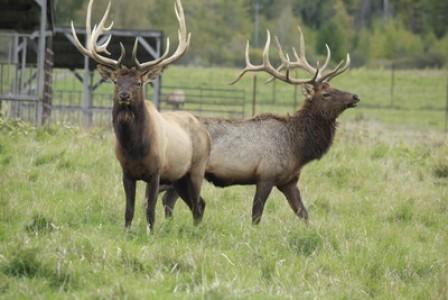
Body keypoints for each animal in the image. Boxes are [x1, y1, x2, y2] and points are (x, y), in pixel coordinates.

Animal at [71, 0, 211, 231]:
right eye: (116, 81)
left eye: (138, 82)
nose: (124, 95)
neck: (134, 148)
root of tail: (205, 130)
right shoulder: (126, 172)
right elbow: (129, 209)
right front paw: (127, 231)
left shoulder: (155, 172)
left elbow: (150, 209)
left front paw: (150, 232)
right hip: (179, 178)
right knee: (198, 203)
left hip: (197, 169)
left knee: (198, 204)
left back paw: (197, 231)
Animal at [163, 25, 358, 224]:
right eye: (326, 94)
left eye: (334, 87)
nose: (355, 97)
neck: (297, 149)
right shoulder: (266, 175)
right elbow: (256, 214)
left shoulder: (289, 181)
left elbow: (303, 213)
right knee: (169, 200)